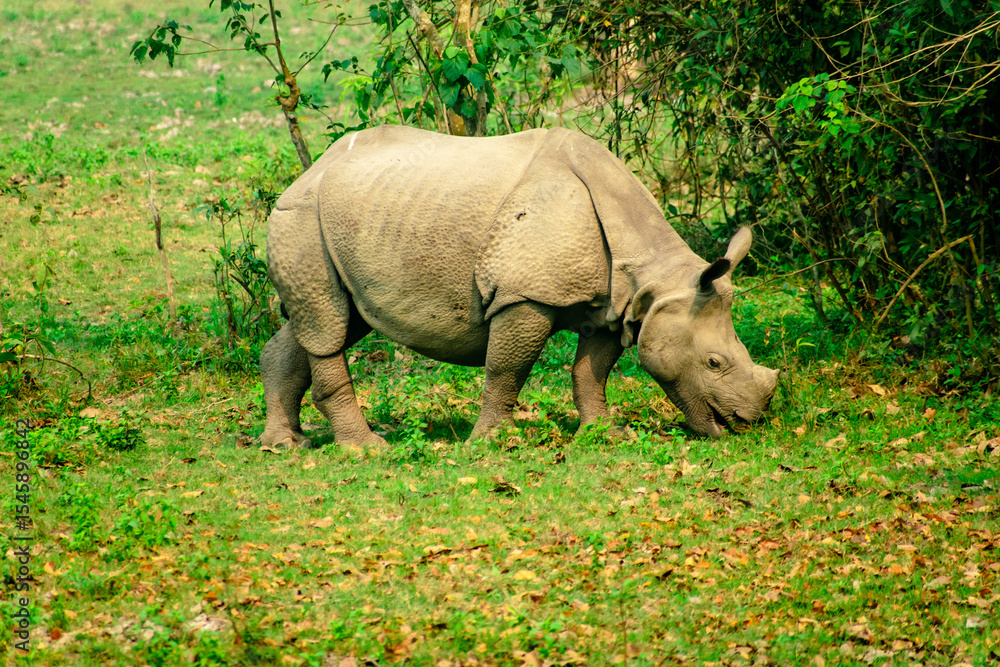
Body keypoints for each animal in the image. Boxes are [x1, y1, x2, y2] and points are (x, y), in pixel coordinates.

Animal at [259, 125, 778, 450]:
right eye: (714, 363)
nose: (751, 422)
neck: (656, 277)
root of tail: (306, 173)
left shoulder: (613, 304)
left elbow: (592, 371)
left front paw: (605, 436)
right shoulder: (526, 295)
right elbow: (507, 368)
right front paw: (495, 443)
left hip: (356, 217)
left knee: (331, 323)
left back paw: (285, 445)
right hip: (301, 216)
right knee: (327, 327)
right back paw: (367, 450)